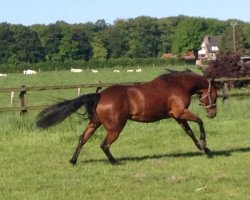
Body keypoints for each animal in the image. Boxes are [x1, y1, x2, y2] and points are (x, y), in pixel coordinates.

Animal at [36, 71, 218, 165]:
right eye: (214, 95)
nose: (213, 114)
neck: (178, 84)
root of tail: (100, 95)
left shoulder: (177, 116)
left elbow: (189, 132)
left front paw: (204, 149)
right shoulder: (180, 112)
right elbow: (199, 122)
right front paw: (204, 144)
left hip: (95, 123)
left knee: (83, 139)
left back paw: (73, 160)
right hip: (115, 127)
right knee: (104, 145)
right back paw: (115, 162)